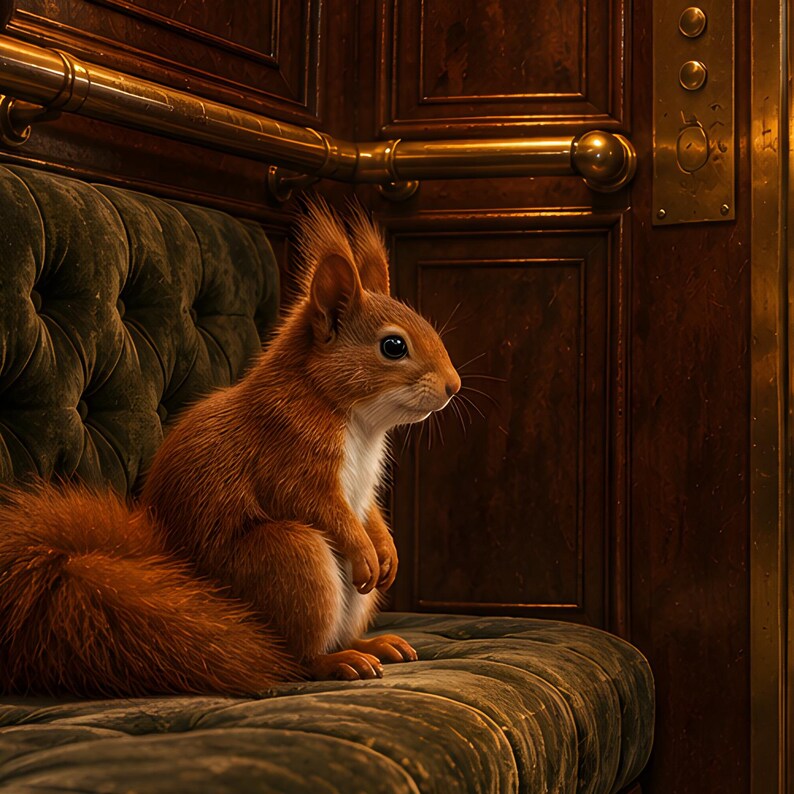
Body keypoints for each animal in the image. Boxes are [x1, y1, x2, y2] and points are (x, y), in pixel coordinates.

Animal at [0, 200, 460, 698]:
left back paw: (372, 645)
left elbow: (369, 512)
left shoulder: (364, 483)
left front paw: (386, 550)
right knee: (292, 658)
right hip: (290, 557)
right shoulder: (285, 452)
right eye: (393, 345)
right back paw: (337, 660)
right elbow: (319, 507)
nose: (454, 386)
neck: (352, 417)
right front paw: (365, 547)